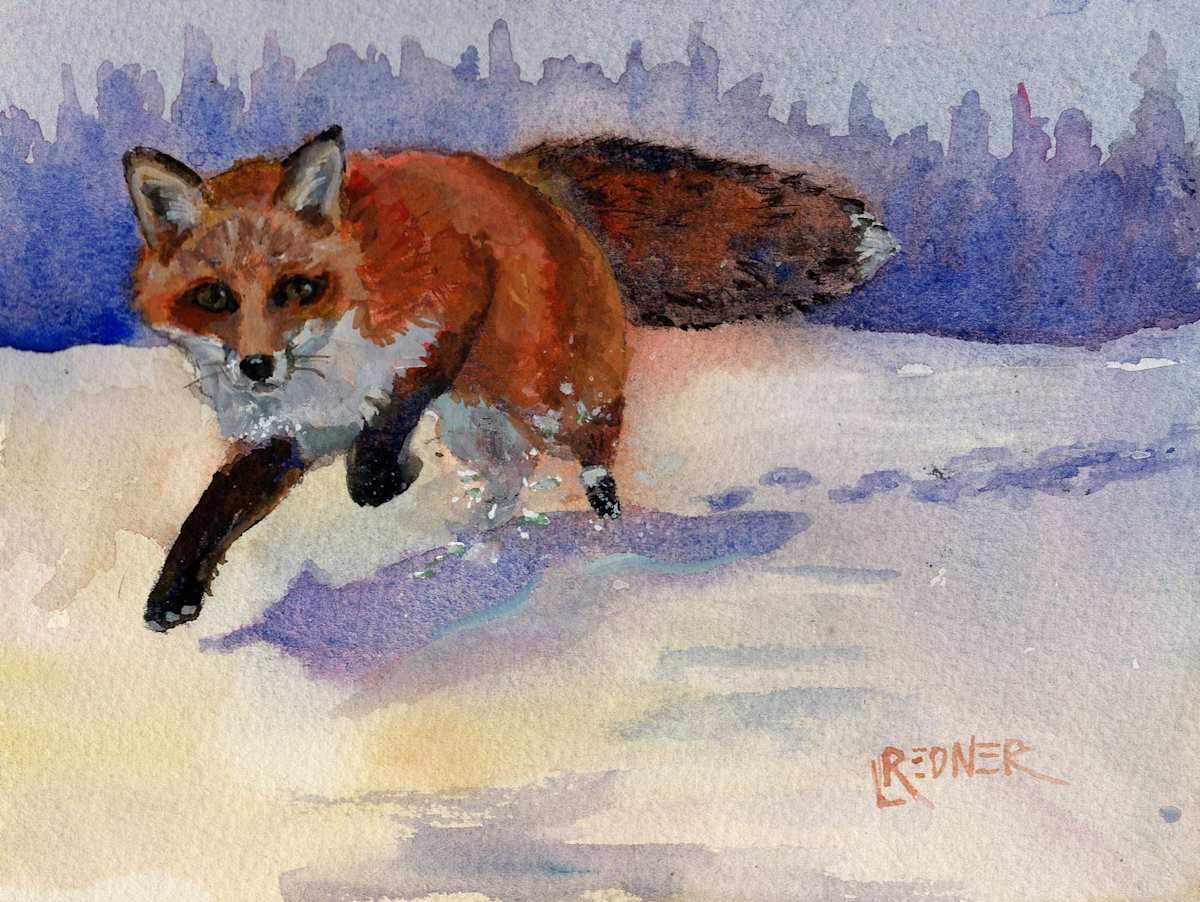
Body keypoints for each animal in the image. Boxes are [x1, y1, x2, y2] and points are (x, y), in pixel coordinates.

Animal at [124, 126, 898, 631]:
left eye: (298, 288)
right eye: (215, 296)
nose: (256, 367)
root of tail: (523, 173)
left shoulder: (457, 294)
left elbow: (386, 432)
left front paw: (390, 472)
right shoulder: (286, 435)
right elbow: (213, 509)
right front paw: (174, 592)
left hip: (555, 392)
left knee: (595, 451)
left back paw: (604, 532)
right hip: (481, 424)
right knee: (508, 479)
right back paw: (480, 547)